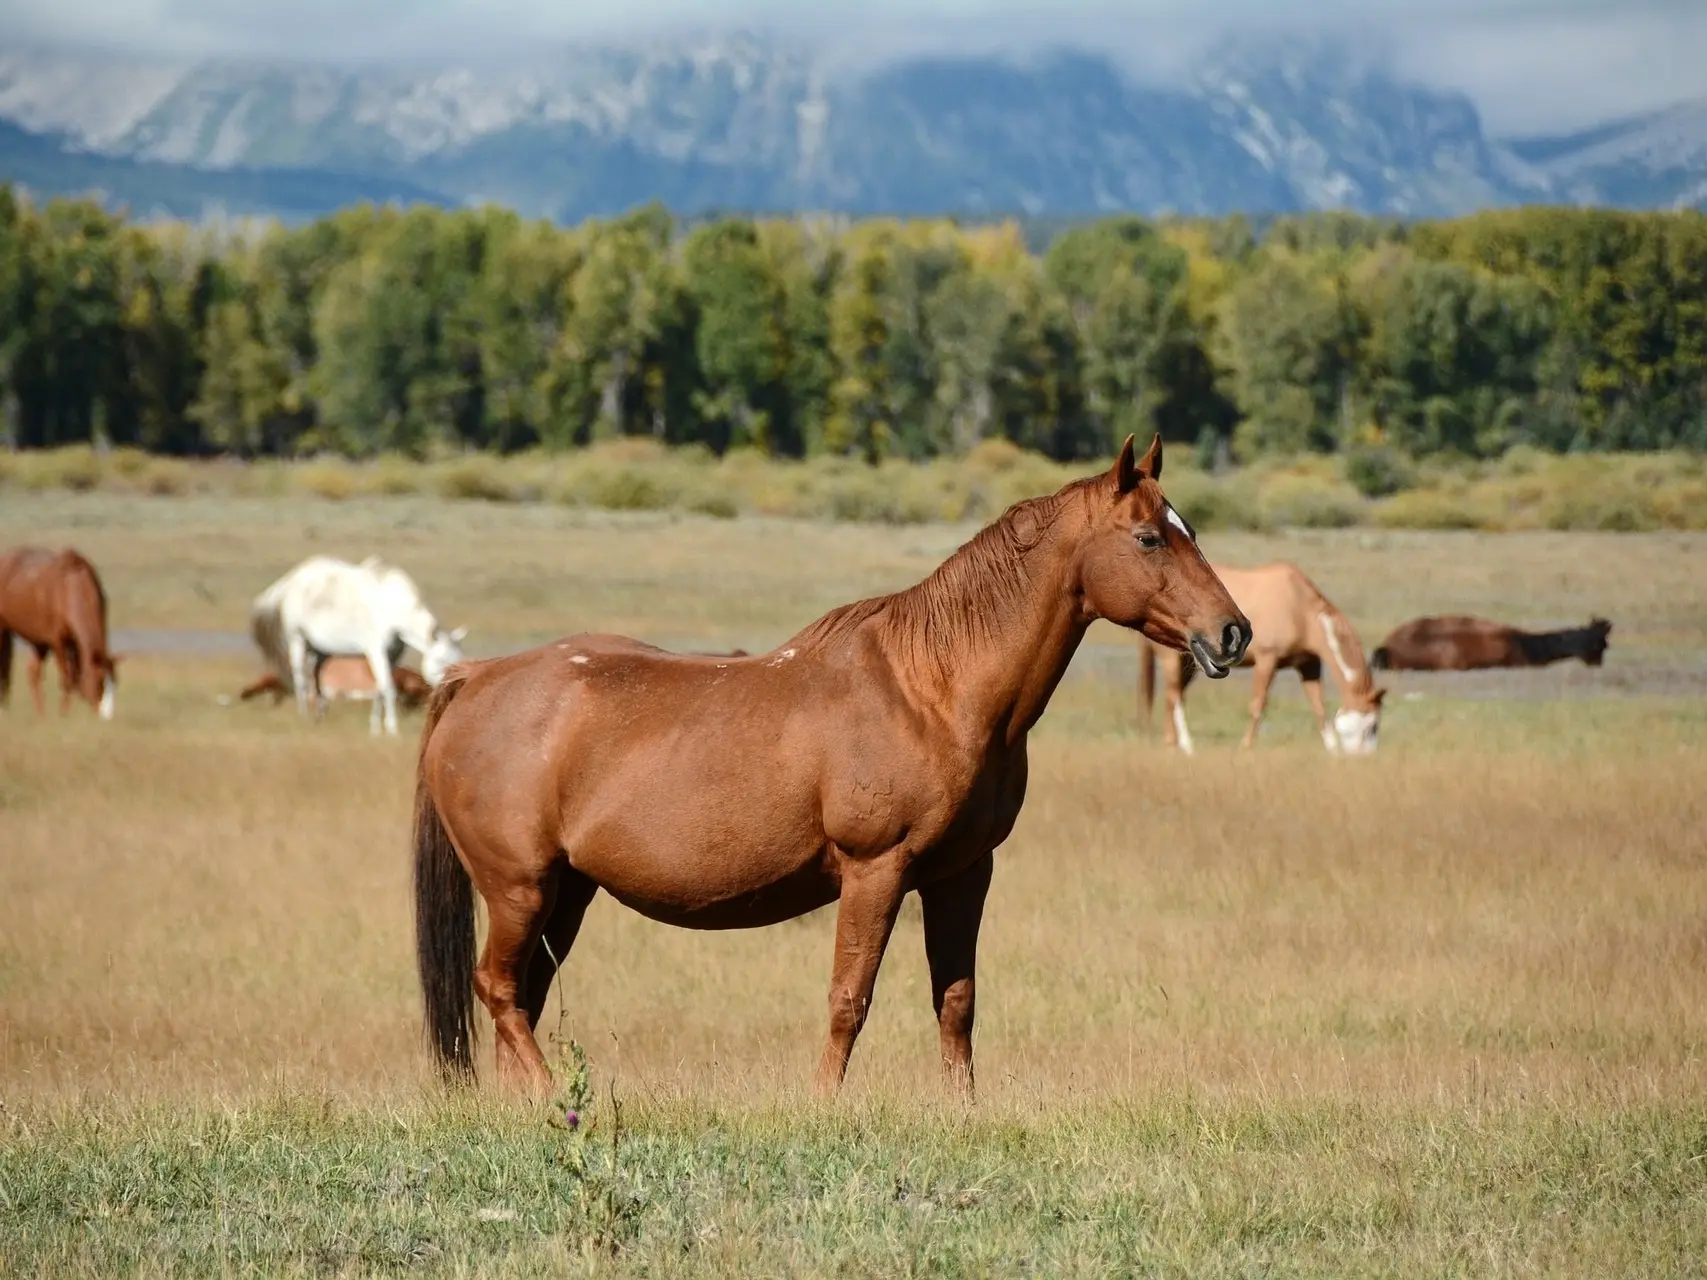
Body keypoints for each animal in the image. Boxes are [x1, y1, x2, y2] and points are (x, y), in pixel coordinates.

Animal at [0, 542, 123, 723]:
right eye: (99, 681)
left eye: (115, 683)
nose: (107, 717)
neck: (69, 586)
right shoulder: (57, 641)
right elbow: (67, 678)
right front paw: (63, 715)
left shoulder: (73, 643)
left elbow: (76, 676)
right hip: (5, 631)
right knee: (6, 669)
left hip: (40, 644)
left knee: (32, 673)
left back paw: (40, 715)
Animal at [406, 440, 1249, 1105]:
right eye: (1148, 537)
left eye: (1188, 531)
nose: (1233, 633)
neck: (930, 690)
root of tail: (475, 679)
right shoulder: (875, 871)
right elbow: (851, 997)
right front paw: (822, 1103)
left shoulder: (963, 875)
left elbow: (956, 1000)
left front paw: (963, 1110)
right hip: (520, 889)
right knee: (499, 990)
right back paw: (555, 1102)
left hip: (566, 893)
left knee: (521, 997)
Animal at [1133, 566, 1386, 757]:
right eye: (1372, 726)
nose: (1364, 757)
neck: (1299, 608)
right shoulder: (1267, 660)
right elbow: (1258, 705)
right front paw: (1246, 747)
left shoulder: (1309, 666)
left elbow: (1319, 707)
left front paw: (1332, 751)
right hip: (1173, 659)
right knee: (1174, 696)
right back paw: (1186, 745)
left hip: (1193, 664)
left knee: (1173, 696)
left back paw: (1172, 743)